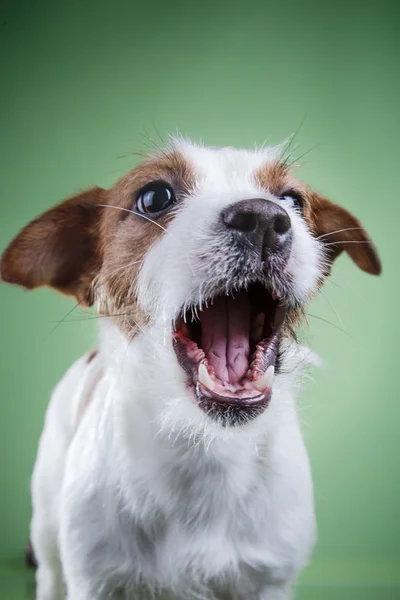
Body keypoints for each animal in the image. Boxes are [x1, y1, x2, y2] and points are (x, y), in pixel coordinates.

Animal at [0, 138, 382, 596]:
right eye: (154, 197)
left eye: (292, 199)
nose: (264, 218)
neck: (204, 448)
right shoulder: (95, 580)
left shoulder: (269, 580)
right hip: (48, 524)